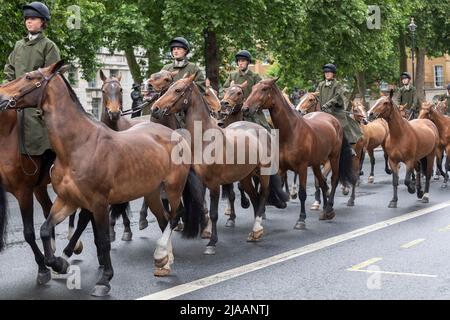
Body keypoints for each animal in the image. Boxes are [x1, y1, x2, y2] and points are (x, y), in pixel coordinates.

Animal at [0, 60, 201, 298]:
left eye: (30, 77)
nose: (1, 95)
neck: (78, 145)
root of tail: (176, 134)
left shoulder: (99, 203)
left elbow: (104, 240)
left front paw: (104, 279)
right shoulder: (68, 200)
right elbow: (45, 230)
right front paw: (59, 263)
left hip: (173, 186)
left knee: (176, 215)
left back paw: (161, 254)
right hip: (152, 192)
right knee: (164, 219)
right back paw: (164, 261)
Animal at [151, 74, 272, 255]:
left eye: (178, 90)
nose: (155, 108)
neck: (204, 140)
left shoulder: (215, 184)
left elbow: (214, 213)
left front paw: (212, 243)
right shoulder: (200, 182)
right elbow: (203, 208)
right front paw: (206, 232)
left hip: (263, 173)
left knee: (263, 195)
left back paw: (257, 228)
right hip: (245, 177)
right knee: (255, 197)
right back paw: (255, 232)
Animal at [243, 79, 356, 229]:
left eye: (264, 89)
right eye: (253, 88)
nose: (245, 108)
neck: (290, 132)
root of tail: (333, 120)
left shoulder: (302, 168)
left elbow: (303, 193)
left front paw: (301, 219)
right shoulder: (281, 168)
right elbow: (279, 185)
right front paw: (279, 201)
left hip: (334, 158)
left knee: (334, 180)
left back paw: (330, 208)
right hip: (315, 164)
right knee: (322, 182)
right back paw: (325, 210)